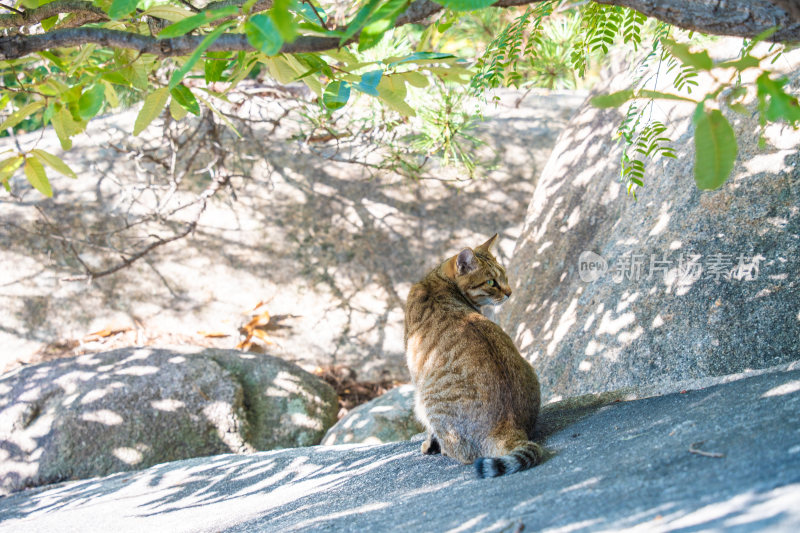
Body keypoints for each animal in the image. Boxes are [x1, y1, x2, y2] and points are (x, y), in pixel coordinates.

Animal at [404, 233, 540, 478]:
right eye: (491, 282)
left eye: (504, 276)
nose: (509, 292)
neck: (436, 282)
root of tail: (509, 429)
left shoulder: (416, 375)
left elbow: (430, 431)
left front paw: (429, 445)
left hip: (426, 398)